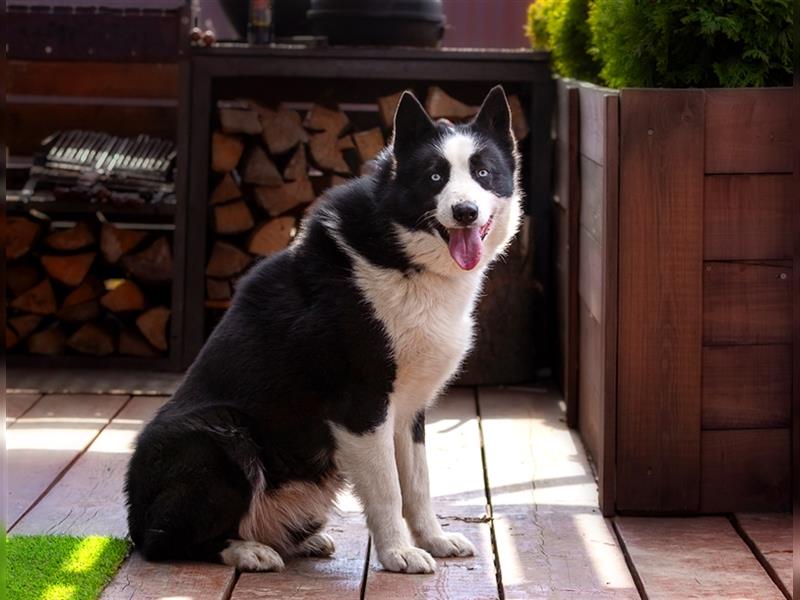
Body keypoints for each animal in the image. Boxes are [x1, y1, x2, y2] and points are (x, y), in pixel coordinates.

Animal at [124, 84, 520, 572]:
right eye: (434, 178)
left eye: (483, 173)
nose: (465, 211)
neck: (401, 251)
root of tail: (134, 518)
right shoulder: (361, 406)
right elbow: (388, 490)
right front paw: (398, 554)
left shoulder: (408, 412)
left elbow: (418, 486)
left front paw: (434, 541)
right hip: (218, 435)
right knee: (164, 542)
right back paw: (247, 550)